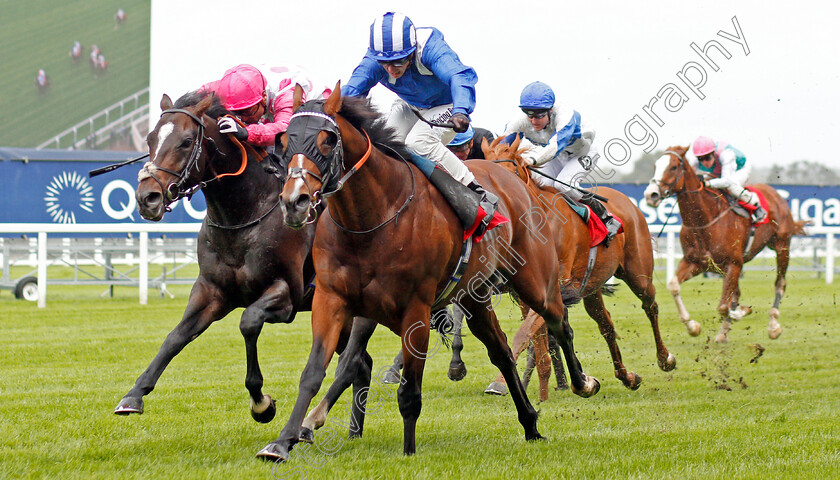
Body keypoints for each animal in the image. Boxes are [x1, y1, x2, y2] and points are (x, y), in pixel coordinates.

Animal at [253, 84, 600, 464]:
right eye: (285, 140)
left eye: (327, 139)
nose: (294, 202)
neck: (371, 220)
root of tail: (513, 182)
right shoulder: (332, 301)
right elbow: (314, 372)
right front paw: (282, 442)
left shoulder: (416, 309)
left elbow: (409, 390)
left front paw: (408, 452)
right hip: (475, 298)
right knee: (502, 351)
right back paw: (531, 424)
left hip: (535, 281)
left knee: (559, 322)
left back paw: (583, 383)